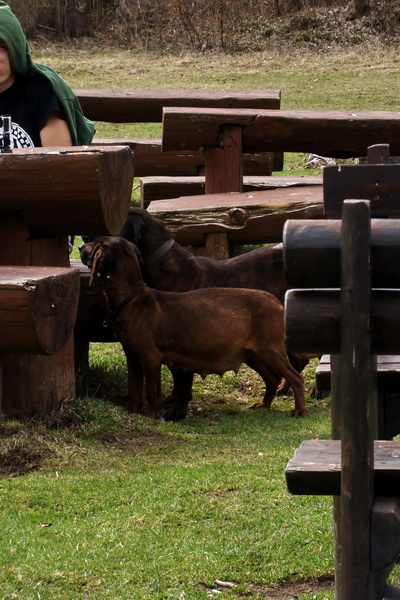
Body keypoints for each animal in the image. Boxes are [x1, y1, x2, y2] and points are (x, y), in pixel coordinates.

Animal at [80, 237, 306, 420]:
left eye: (96, 244)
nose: (81, 246)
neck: (134, 299)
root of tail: (275, 301)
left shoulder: (150, 358)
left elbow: (152, 393)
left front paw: (151, 417)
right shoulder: (133, 356)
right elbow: (134, 391)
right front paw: (133, 414)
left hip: (270, 351)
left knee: (296, 378)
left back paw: (300, 410)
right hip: (253, 355)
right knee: (273, 378)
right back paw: (265, 405)